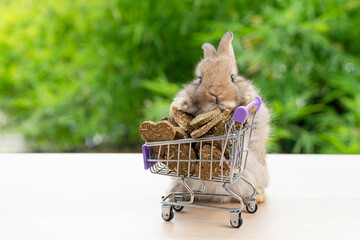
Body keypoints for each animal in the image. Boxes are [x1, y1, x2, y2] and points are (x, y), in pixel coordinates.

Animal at [168, 31, 270, 202]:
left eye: (232, 77)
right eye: (200, 79)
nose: (215, 92)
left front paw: (248, 101)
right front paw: (178, 106)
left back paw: (258, 197)